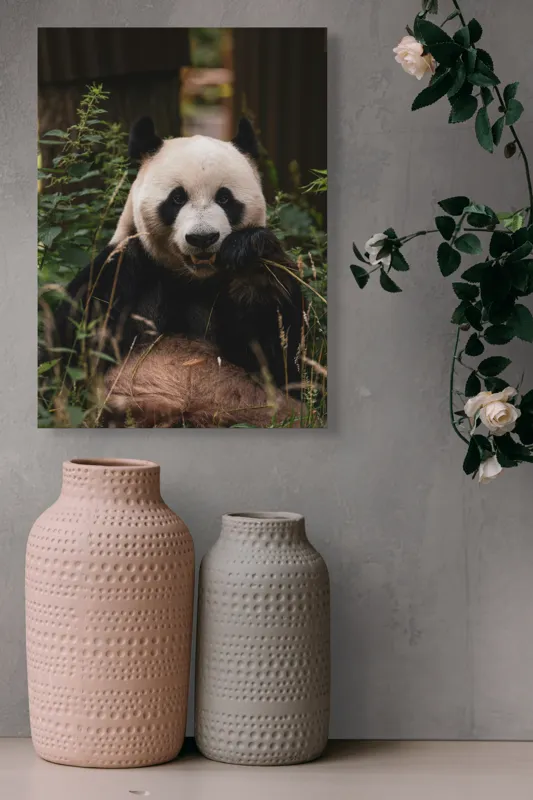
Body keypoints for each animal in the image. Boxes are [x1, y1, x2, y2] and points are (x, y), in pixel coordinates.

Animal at [56, 117, 305, 427]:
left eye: (225, 198)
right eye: (176, 198)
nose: (202, 238)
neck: (191, 280)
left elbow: (282, 356)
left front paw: (249, 255)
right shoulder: (126, 269)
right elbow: (73, 345)